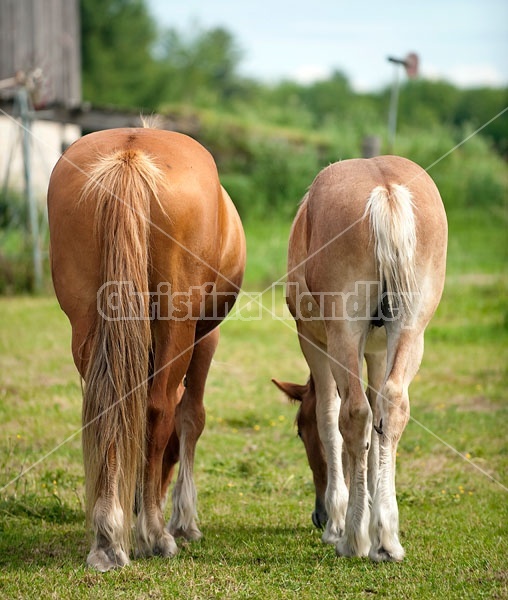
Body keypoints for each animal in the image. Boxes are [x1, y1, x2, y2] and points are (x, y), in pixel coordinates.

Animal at [47, 127, 246, 572]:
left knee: (106, 408)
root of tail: (131, 155)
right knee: (157, 410)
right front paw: (182, 521)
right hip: (177, 324)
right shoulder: (204, 339)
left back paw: (107, 536)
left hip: (88, 324)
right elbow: (190, 417)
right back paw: (155, 534)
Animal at [274, 156, 444, 564]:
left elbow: (330, 420)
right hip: (410, 332)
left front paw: (339, 519)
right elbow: (376, 429)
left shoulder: (314, 343)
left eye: (299, 431)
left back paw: (352, 538)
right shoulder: (378, 352)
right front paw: (370, 510)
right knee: (392, 405)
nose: (318, 515)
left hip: (341, 336)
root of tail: (385, 189)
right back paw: (385, 539)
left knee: (352, 413)